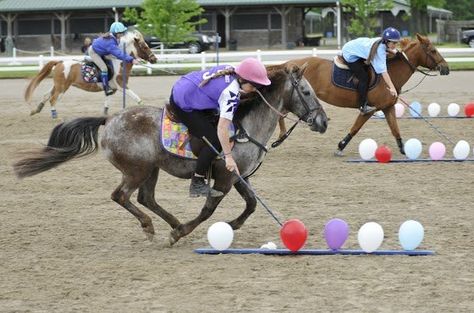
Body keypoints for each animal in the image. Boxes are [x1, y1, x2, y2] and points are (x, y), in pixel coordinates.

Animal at [24, 29, 157, 117]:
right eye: (145, 47)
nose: (154, 59)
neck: (119, 63)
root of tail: (59, 62)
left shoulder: (112, 87)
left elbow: (107, 98)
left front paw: (105, 112)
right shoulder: (121, 85)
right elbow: (137, 98)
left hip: (57, 85)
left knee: (46, 95)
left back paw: (36, 110)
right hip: (62, 87)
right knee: (53, 99)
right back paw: (54, 115)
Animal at [280, 33, 450, 154]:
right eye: (433, 50)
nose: (446, 68)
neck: (389, 74)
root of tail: (289, 64)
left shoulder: (388, 108)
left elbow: (395, 129)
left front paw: (404, 149)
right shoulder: (369, 110)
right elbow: (356, 128)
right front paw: (341, 146)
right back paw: (281, 135)